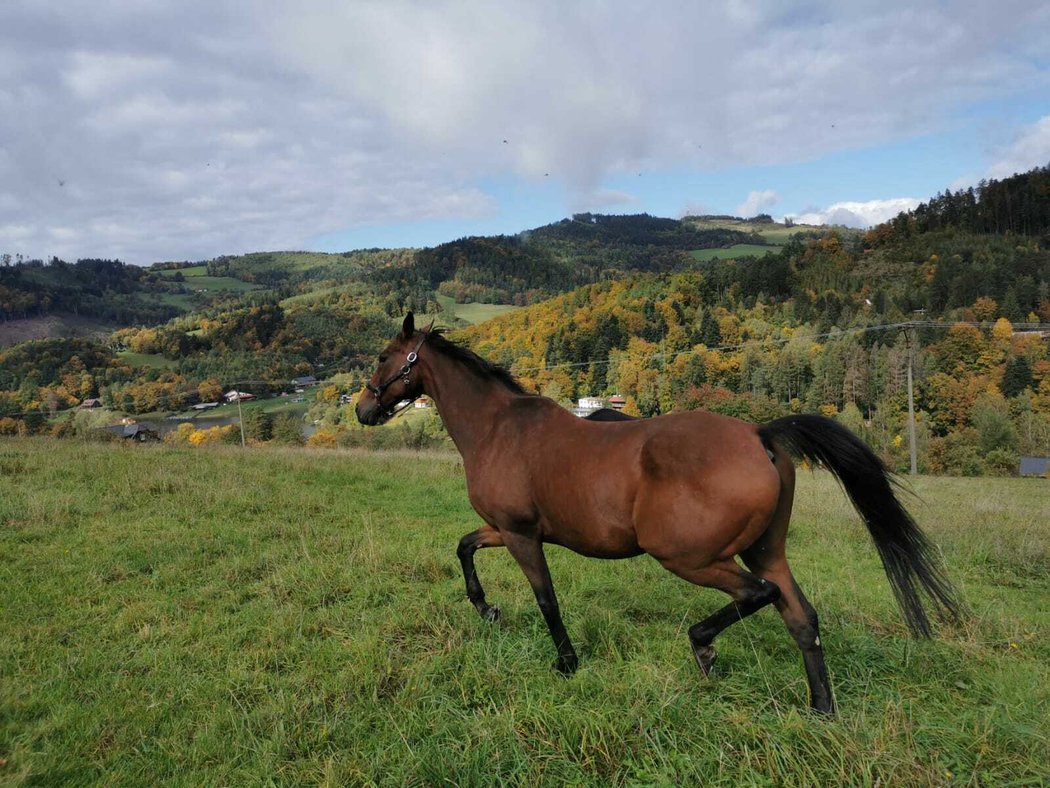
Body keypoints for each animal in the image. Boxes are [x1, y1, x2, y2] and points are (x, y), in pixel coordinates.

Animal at [356, 315, 961, 714]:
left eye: (384, 358)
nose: (363, 409)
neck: (498, 428)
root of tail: (758, 434)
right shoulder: (504, 530)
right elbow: (463, 546)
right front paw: (487, 609)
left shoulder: (523, 536)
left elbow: (547, 600)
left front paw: (566, 662)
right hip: (765, 550)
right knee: (801, 618)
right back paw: (820, 708)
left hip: (689, 557)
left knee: (757, 596)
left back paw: (703, 646)